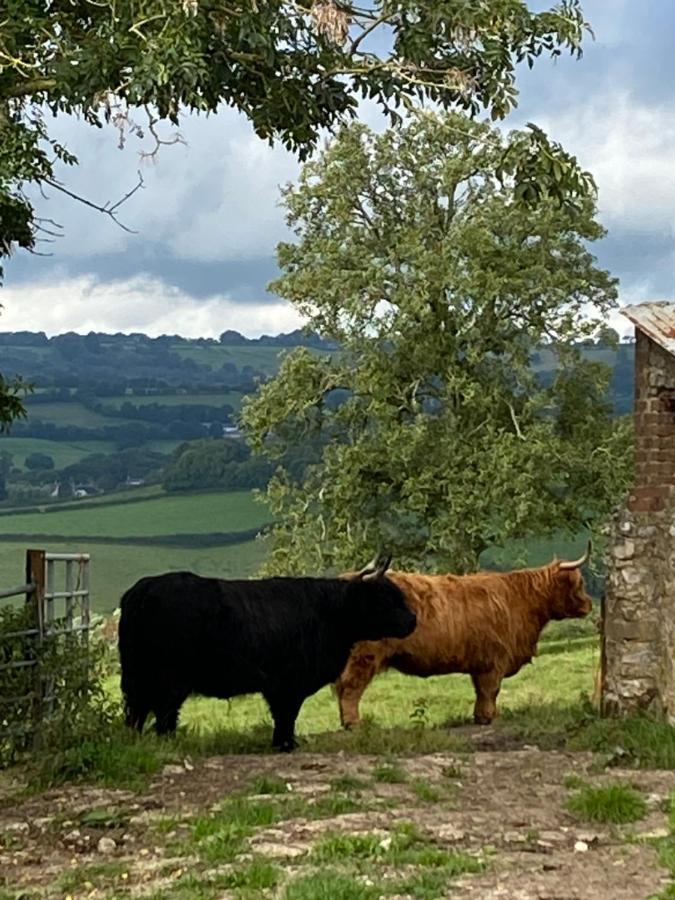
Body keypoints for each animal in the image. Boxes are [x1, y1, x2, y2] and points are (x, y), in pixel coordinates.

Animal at [119, 556, 414, 752]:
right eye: (386, 598)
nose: (413, 620)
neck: (329, 613)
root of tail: (143, 589)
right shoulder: (290, 683)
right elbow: (287, 715)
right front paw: (286, 745)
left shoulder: (280, 685)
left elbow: (282, 716)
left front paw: (282, 743)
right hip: (169, 679)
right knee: (163, 713)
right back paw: (168, 745)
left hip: (138, 675)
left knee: (137, 712)